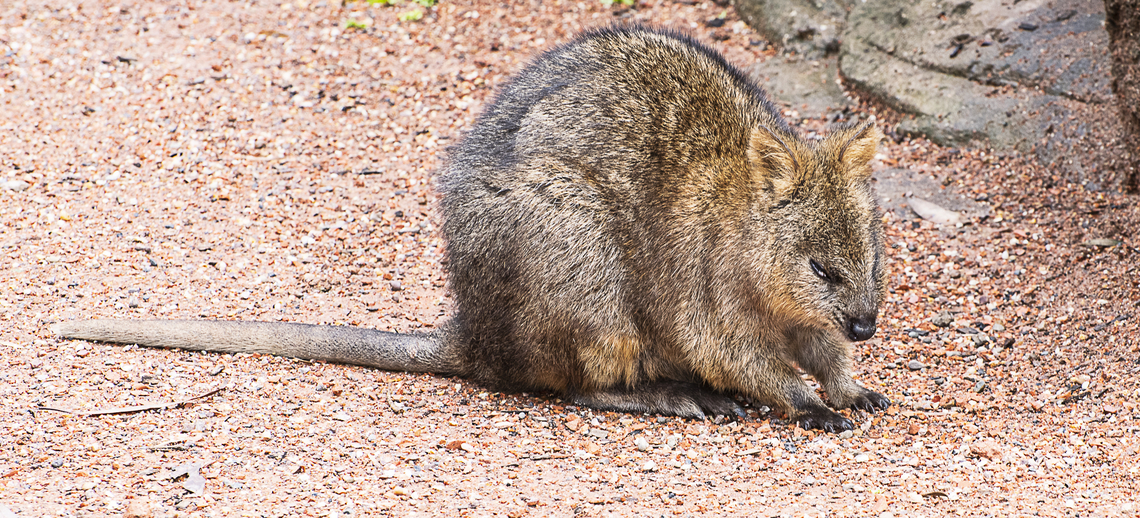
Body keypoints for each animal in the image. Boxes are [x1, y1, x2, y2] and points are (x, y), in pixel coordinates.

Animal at [54, 25, 890, 432]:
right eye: (820, 267)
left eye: (875, 262)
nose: (867, 327)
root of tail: (476, 338)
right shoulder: (708, 302)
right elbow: (752, 364)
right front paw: (814, 407)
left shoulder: (807, 322)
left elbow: (819, 355)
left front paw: (852, 389)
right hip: (577, 251)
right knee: (576, 386)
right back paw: (679, 398)